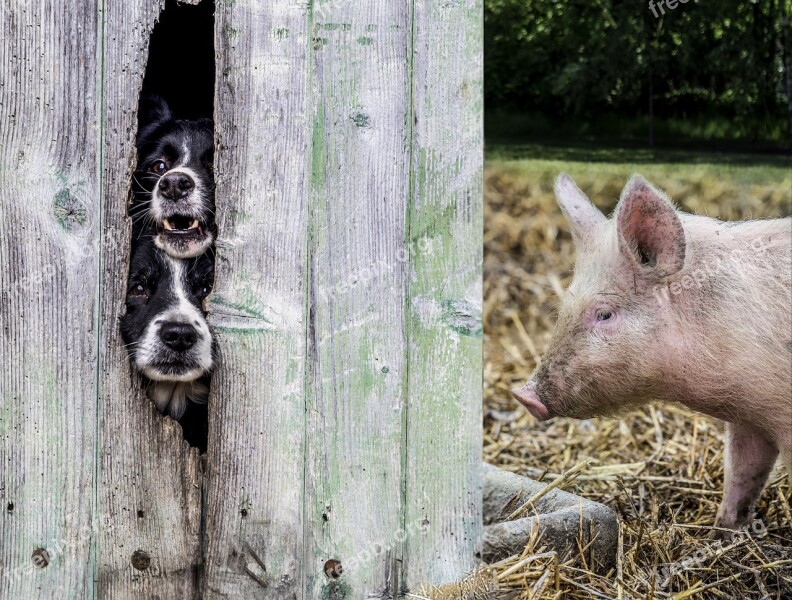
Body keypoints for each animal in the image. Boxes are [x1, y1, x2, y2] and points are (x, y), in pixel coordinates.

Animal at [512, 173, 792, 536]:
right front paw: (723, 533)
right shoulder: (751, 418)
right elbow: (741, 475)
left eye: (604, 314)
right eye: (564, 306)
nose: (523, 394)